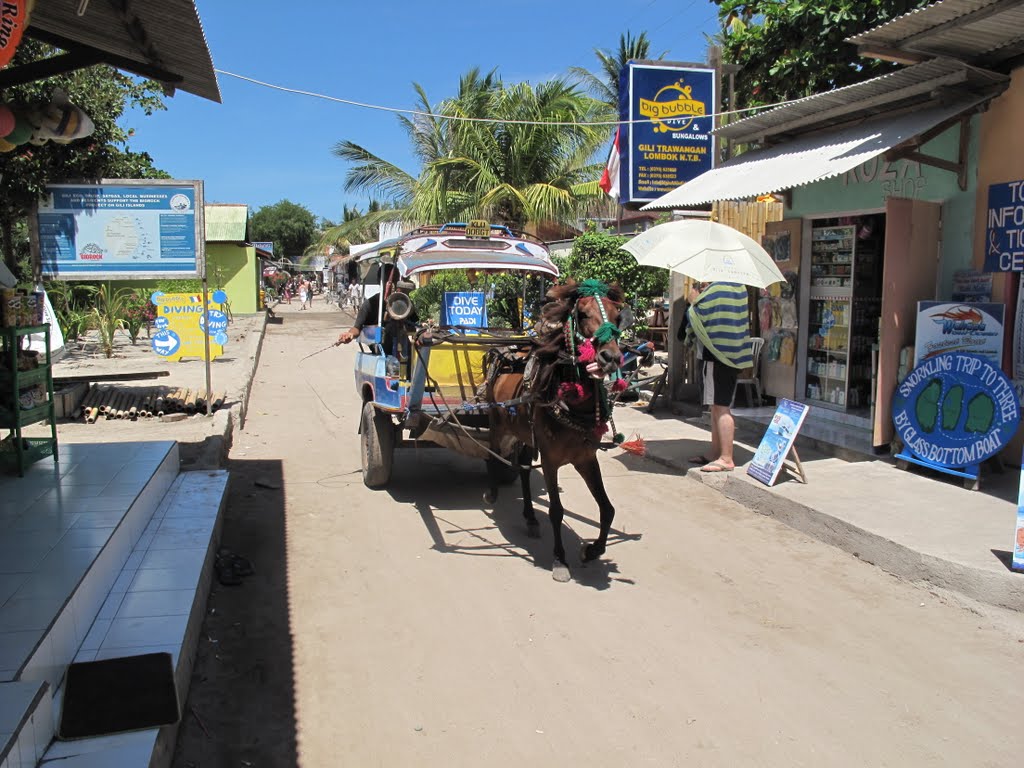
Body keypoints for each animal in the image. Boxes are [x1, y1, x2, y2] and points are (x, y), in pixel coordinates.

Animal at [481, 280, 630, 581]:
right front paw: (560, 559)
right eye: (582, 314)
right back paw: (492, 493)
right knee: (492, 454)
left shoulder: (586, 458)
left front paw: (592, 551)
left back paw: (529, 516)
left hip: (524, 434)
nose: (610, 357)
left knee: (524, 468)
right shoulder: (551, 460)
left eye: (616, 314)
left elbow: (607, 509)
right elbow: (556, 510)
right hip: (497, 423)